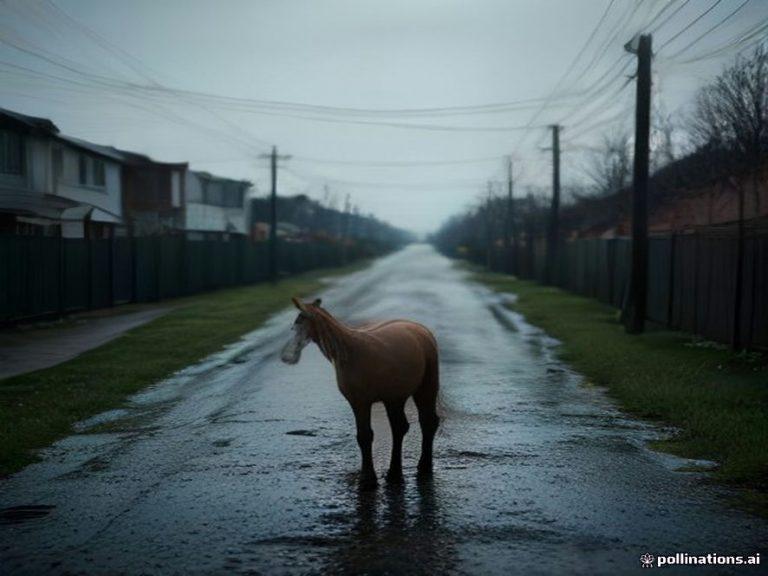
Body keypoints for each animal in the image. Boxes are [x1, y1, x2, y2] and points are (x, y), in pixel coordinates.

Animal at [280, 297, 440, 489]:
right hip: (395, 398)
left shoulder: (360, 402)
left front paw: (367, 479)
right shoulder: (360, 402)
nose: (286, 356)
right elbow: (364, 436)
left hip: (426, 386)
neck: (349, 352)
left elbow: (364, 436)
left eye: (298, 323)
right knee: (400, 427)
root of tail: (422, 330)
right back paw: (394, 473)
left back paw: (424, 466)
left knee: (428, 422)